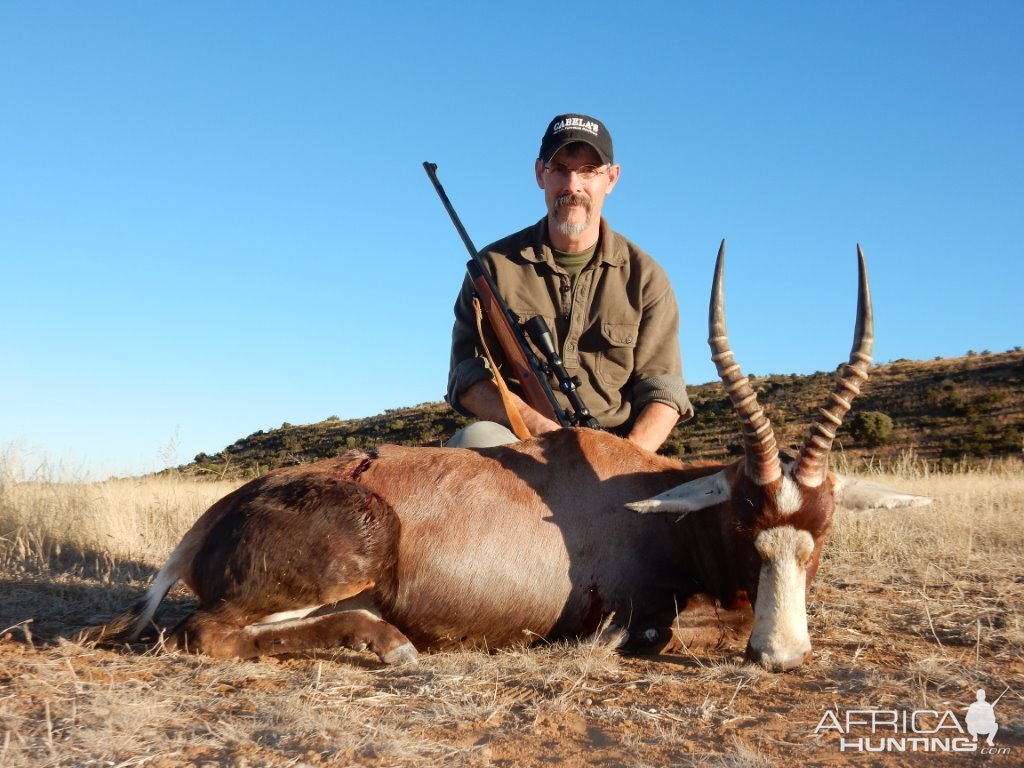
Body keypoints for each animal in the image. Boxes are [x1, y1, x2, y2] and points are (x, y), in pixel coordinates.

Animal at [86, 243, 929, 671]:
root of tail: (222, 508)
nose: (778, 656)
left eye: (820, 535)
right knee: (204, 633)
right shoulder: (644, 615)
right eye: (742, 524)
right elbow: (675, 632)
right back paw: (393, 646)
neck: (636, 500)